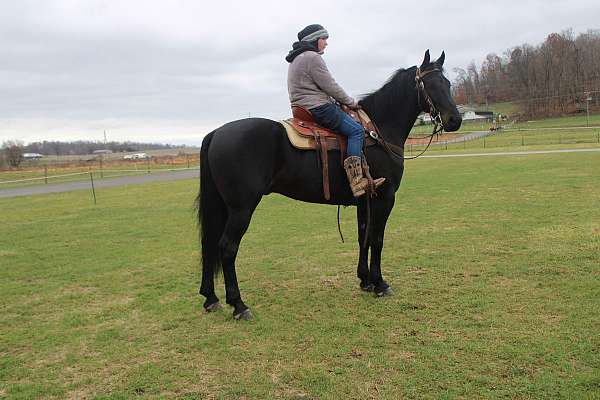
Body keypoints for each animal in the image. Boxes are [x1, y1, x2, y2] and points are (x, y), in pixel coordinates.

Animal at [196, 50, 460, 318]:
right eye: (430, 85)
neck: (379, 130)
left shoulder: (364, 201)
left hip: (222, 207)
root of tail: (216, 132)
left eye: (447, 84)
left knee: (209, 244)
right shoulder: (384, 197)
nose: (455, 120)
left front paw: (365, 280)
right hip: (242, 208)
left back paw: (211, 298)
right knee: (227, 248)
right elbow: (377, 239)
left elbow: (363, 236)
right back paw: (238, 305)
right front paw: (380, 284)